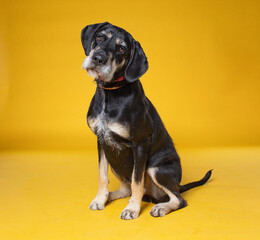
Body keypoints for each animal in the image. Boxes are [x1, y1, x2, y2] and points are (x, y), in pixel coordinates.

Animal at [81, 22, 213, 219]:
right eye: (100, 37)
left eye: (121, 49)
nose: (98, 58)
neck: (110, 94)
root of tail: (179, 184)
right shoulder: (102, 141)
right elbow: (102, 175)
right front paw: (100, 199)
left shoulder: (140, 144)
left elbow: (137, 180)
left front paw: (132, 209)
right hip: (115, 163)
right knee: (126, 189)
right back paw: (111, 196)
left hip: (156, 168)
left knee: (178, 199)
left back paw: (161, 207)